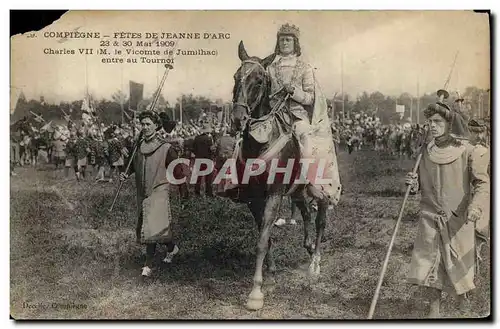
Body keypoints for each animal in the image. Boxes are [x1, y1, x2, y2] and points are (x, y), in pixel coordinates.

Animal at [230, 41, 332, 310]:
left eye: (258, 80)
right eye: (236, 77)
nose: (237, 119)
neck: (261, 142)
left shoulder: (274, 194)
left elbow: (262, 240)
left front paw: (256, 293)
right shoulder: (254, 198)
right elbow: (265, 238)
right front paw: (271, 274)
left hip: (320, 191)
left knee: (320, 220)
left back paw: (315, 264)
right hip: (297, 191)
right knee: (306, 213)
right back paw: (308, 247)